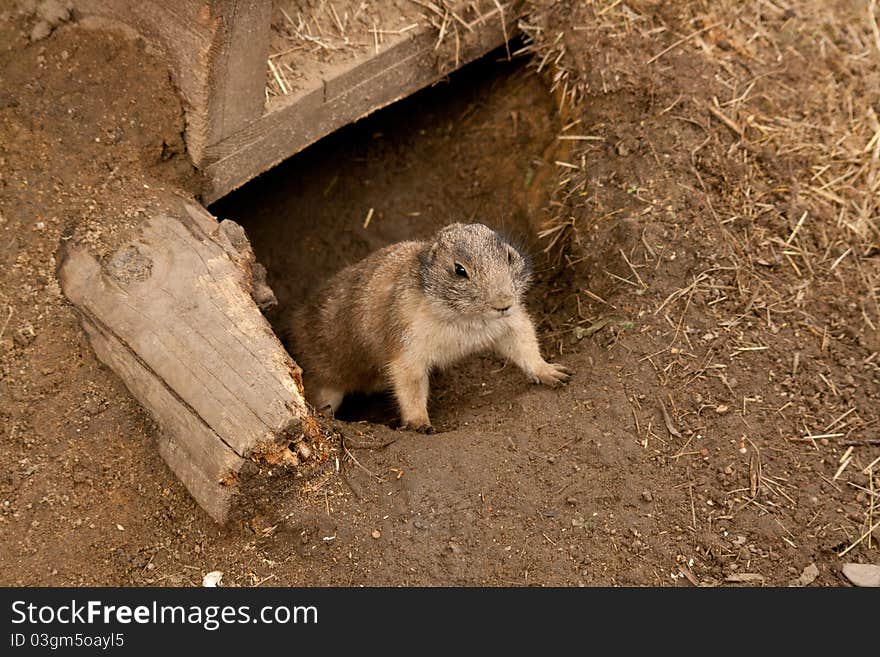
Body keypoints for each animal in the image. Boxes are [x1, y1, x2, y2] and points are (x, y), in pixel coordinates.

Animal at [282, 223, 572, 434]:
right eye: (459, 270)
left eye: (509, 256)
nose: (503, 304)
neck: (465, 318)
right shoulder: (409, 340)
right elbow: (409, 380)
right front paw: (420, 424)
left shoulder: (510, 323)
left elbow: (524, 341)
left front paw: (554, 373)